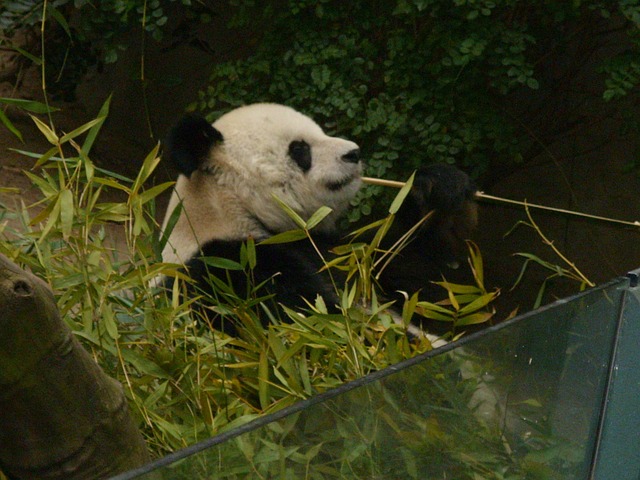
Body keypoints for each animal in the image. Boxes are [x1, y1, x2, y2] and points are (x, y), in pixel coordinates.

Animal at [160, 103, 478, 342]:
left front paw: (438, 186)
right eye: (300, 149)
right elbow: (316, 328)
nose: (353, 153)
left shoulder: (332, 249)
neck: (228, 207)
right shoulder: (228, 270)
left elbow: (418, 276)